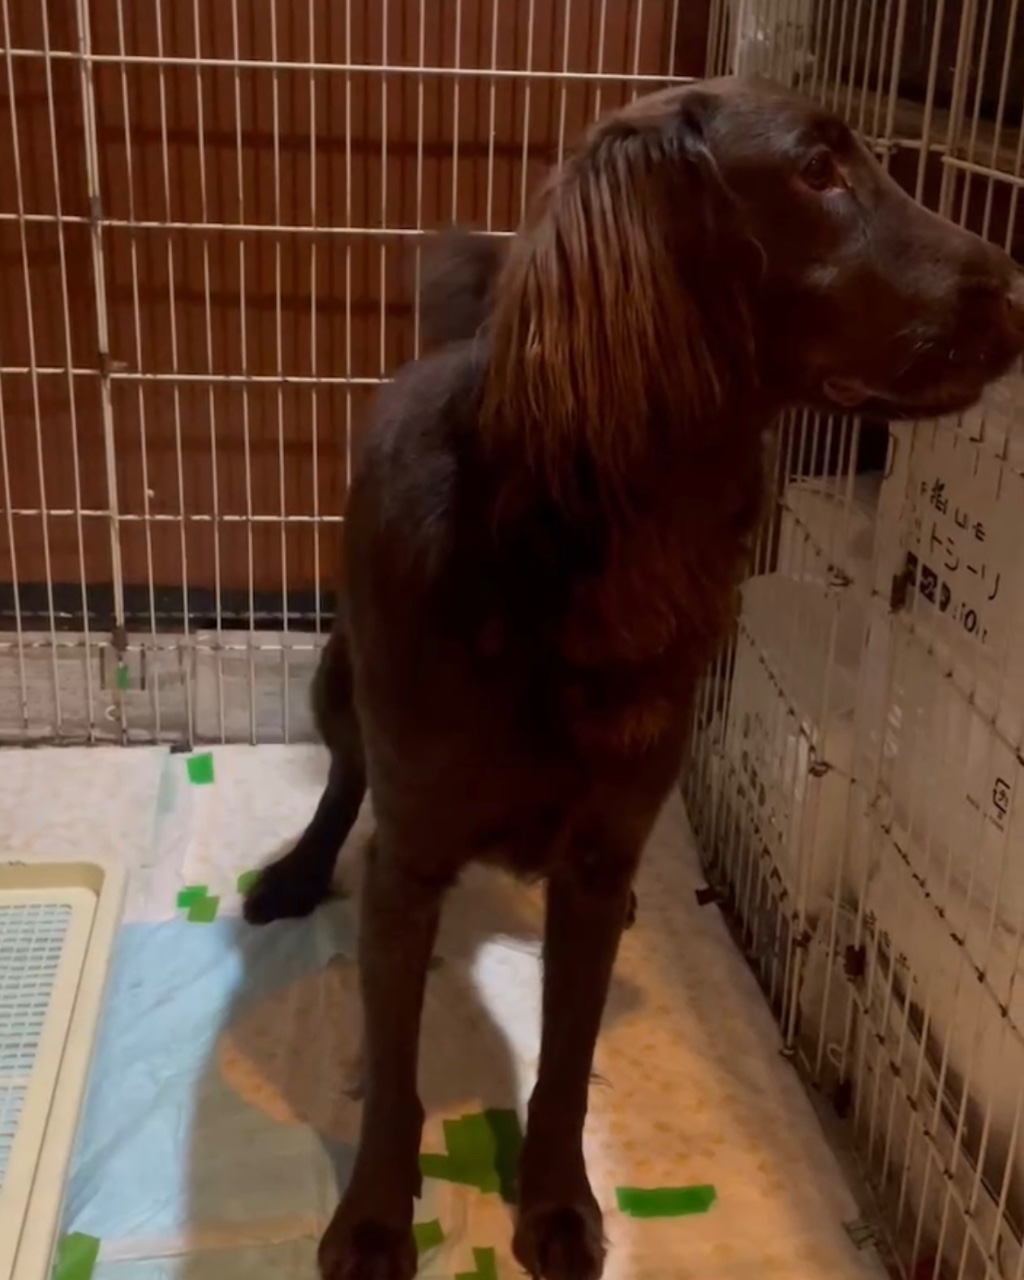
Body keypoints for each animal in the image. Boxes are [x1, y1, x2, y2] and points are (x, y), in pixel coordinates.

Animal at [244, 77, 1024, 1280]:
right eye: (816, 172)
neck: (579, 553)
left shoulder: (600, 859)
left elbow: (565, 1063)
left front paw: (557, 1207)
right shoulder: (410, 860)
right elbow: (397, 1071)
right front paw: (374, 1218)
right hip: (339, 684)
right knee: (342, 786)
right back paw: (293, 873)